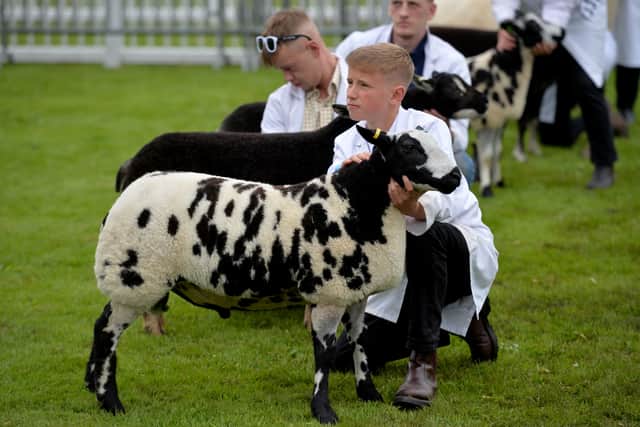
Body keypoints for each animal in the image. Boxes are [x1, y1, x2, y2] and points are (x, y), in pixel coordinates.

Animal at [84, 126, 461, 424]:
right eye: (409, 147)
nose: (456, 177)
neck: (355, 205)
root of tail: (126, 193)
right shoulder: (329, 294)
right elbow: (324, 355)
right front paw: (323, 411)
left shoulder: (356, 292)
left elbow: (359, 342)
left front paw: (369, 395)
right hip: (137, 276)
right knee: (107, 333)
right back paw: (110, 401)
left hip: (131, 279)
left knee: (102, 326)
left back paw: (94, 385)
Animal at [467, 11, 563, 197]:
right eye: (533, 25)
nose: (562, 32)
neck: (502, 68)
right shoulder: (488, 119)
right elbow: (487, 155)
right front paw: (486, 188)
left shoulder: (499, 119)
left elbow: (497, 151)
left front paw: (498, 181)